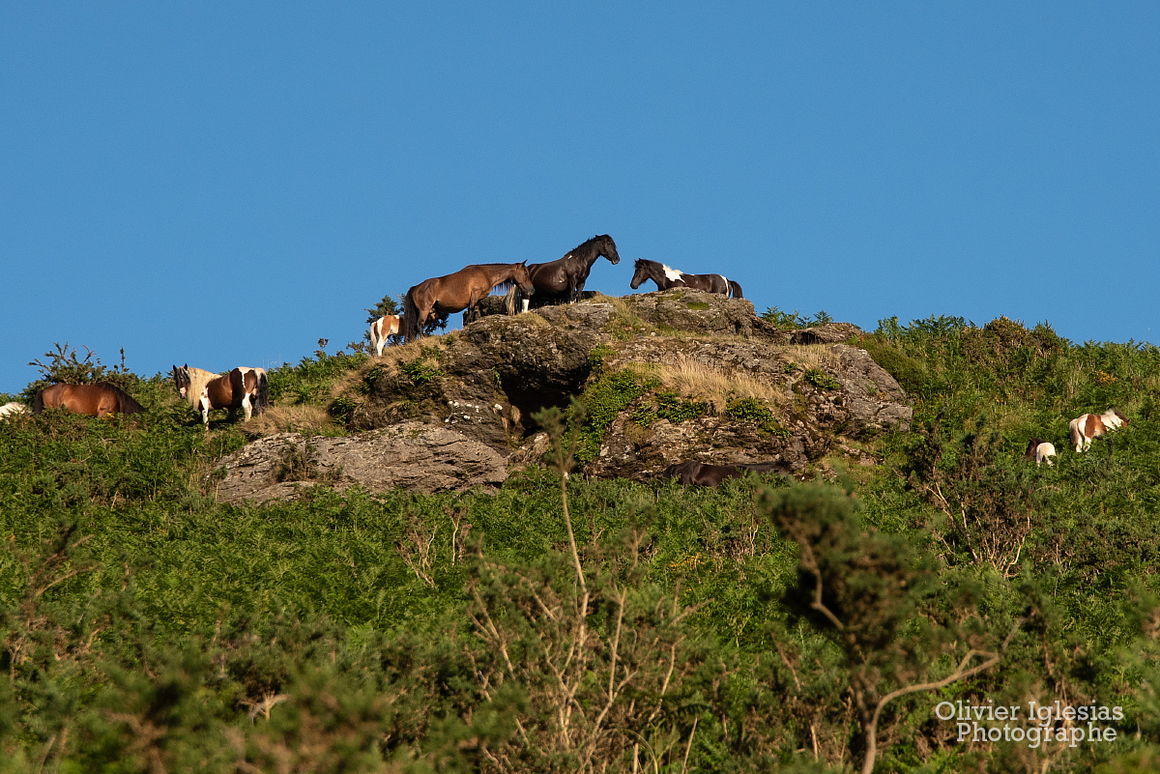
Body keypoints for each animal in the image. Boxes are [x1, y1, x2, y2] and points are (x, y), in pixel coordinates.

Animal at [401, 262, 535, 341]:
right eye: (525, 272)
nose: (532, 290)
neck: (485, 274)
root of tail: (415, 288)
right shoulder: (474, 296)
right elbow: (470, 313)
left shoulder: (477, 300)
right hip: (425, 310)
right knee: (419, 325)